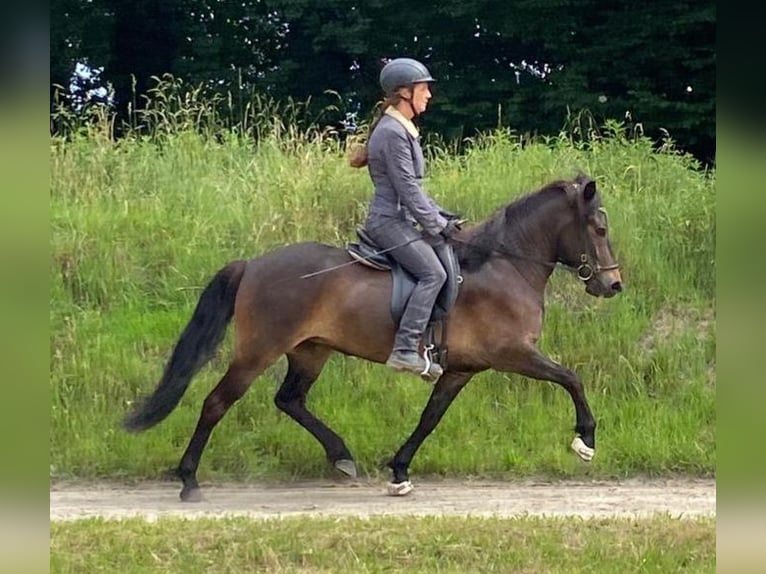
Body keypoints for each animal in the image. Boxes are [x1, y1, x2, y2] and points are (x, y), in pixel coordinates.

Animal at [123, 173, 622, 501]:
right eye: (599, 228)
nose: (613, 285)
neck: (504, 265)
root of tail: (253, 265)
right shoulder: (512, 352)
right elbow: (571, 378)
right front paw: (585, 441)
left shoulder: (461, 369)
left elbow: (429, 419)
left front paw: (399, 470)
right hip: (258, 351)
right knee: (217, 403)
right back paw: (189, 480)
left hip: (310, 351)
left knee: (289, 400)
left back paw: (341, 457)